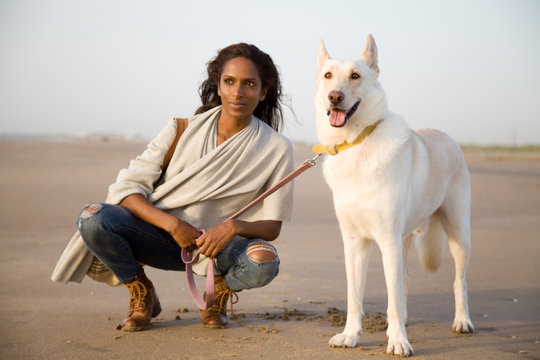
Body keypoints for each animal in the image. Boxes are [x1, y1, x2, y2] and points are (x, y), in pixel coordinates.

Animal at [314, 35, 474, 356]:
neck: (356, 144)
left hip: (458, 236)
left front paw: (398, 340)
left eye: (355, 76)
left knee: (458, 282)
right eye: (327, 76)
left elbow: (393, 300)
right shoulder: (354, 243)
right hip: (405, 239)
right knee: (405, 281)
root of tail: (446, 135)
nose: (335, 96)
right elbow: (355, 296)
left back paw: (462, 321)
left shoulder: (387, 240)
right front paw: (350, 335)